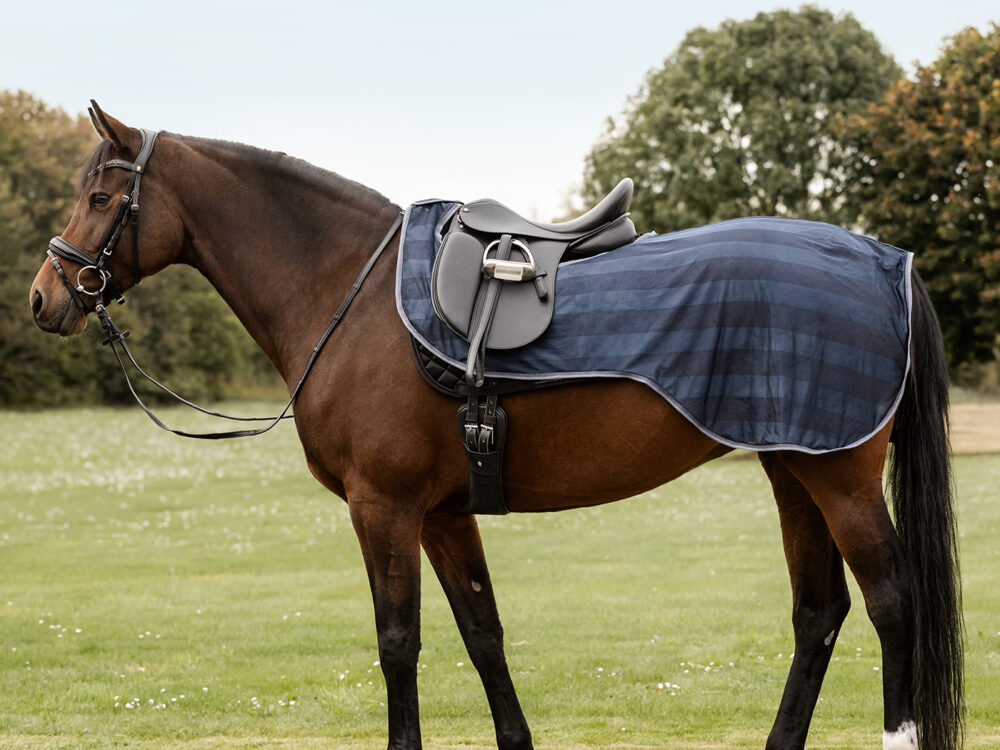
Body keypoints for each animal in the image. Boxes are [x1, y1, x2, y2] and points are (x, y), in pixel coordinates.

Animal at [29, 103, 962, 750]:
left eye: (102, 196)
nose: (44, 298)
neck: (351, 293)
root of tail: (886, 261)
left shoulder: (384, 508)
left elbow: (398, 644)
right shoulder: (443, 514)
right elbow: (483, 635)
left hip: (839, 476)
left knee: (891, 602)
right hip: (792, 468)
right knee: (819, 612)